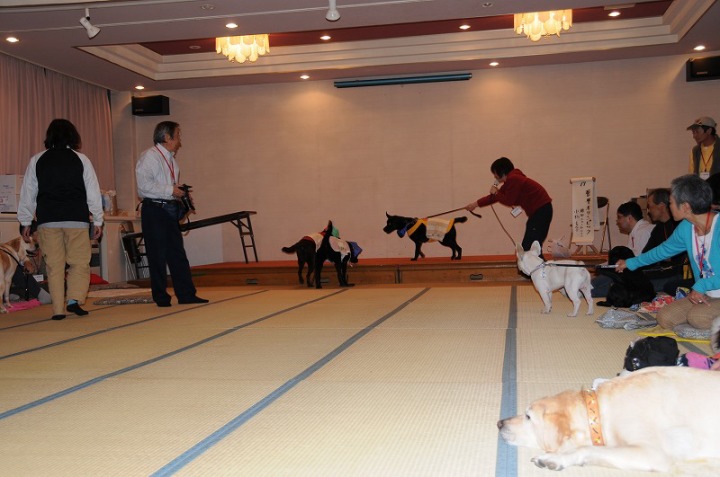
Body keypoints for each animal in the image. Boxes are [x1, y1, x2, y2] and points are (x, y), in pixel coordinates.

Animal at [498, 366, 720, 472]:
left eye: (528, 416)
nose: (499, 423)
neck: (601, 410)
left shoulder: (654, 453)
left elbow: (587, 449)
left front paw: (555, 458)